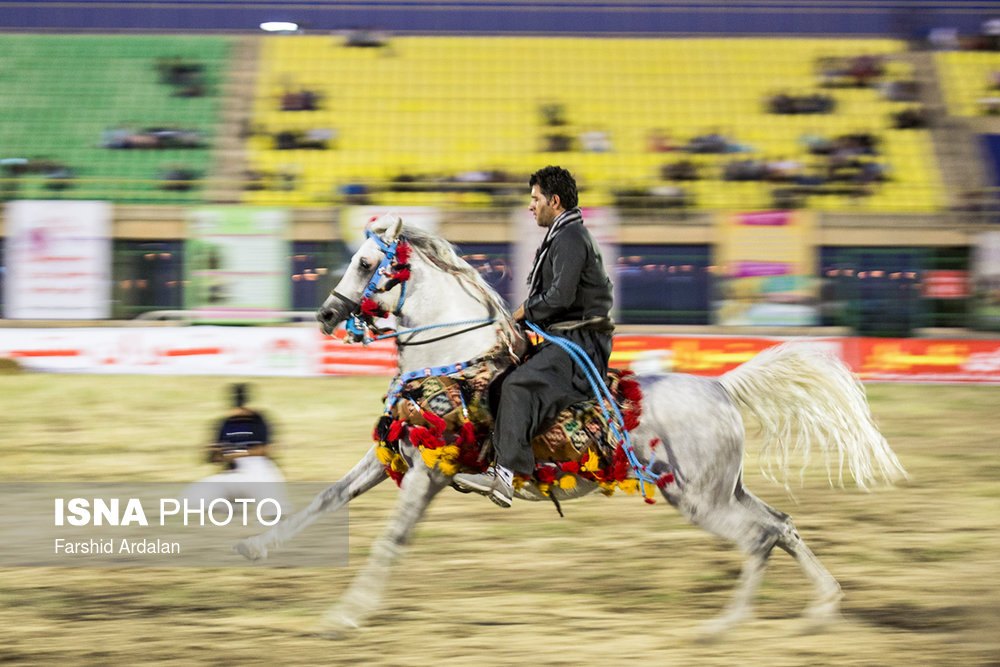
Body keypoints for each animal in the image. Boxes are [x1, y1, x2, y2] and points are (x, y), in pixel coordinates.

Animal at [236, 217, 908, 640]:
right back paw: (821, 608)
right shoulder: (392, 455)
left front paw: (344, 617)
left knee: (758, 539)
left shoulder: (430, 472)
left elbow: (389, 542)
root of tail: (719, 386)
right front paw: (257, 547)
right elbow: (327, 498)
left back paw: (722, 628)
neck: (454, 357)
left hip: (698, 499)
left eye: (368, 263)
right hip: (720, 490)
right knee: (782, 526)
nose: (326, 316)